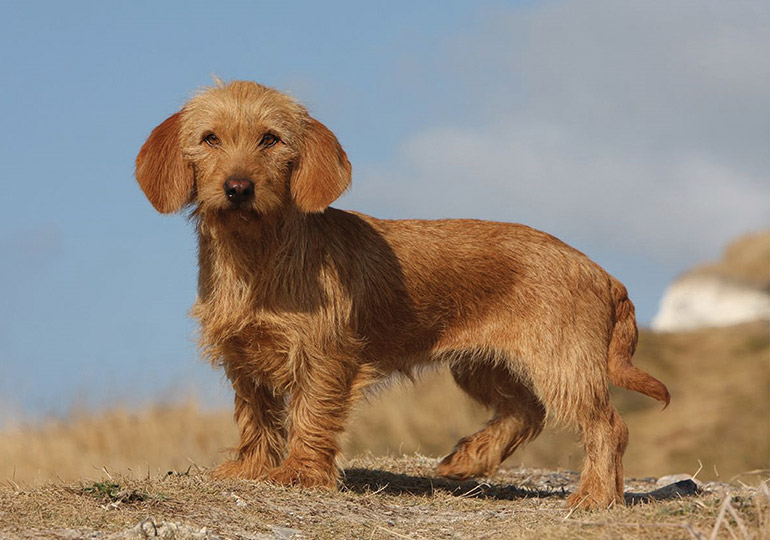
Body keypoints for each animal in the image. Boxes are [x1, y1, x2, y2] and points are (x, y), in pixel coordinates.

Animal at [135, 78, 664, 508]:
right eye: (210, 138)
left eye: (270, 138)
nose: (238, 187)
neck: (257, 256)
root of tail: (601, 272)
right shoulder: (243, 356)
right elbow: (257, 416)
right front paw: (252, 468)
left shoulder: (325, 356)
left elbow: (310, 414)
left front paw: (301, 473)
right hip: (482, 366)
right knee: (526, 411)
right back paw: (469, 459)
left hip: (562, 366)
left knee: (607, 425)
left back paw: (595, 496)